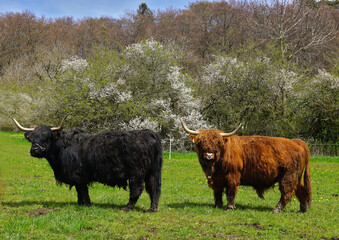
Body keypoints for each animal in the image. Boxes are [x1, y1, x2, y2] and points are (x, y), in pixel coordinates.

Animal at [182, 119, 312, 212]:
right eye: (199, 143)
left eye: (217, 143)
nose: (209, 156)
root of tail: (297, 142)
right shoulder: (216, 178)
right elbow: (217, 192)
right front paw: (218, 206)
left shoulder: (232, 175)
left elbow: (230, 191)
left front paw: (230, 207)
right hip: (296, 177)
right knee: (300, 190)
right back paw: (302, 209)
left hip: (288, 176)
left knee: (287, 192)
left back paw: (276, 210)